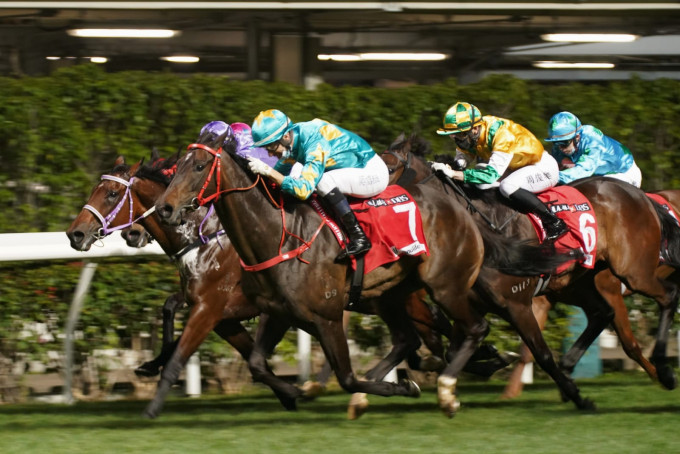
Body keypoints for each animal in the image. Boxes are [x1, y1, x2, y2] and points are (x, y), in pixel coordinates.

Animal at [154, 127, 584, 414]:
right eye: (174, 167)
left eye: (198, 165)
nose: (165, 209)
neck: (281, 234)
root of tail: (462, 213)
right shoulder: (277, 312)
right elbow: (258, 365)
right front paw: (295, 393)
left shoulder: (326, 316)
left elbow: (346, 376)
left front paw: (399, 390)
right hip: (395, 294)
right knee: (416, 338)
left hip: (444, 287)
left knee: (474, 329)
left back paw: (449, 389)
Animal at [388, 132, 680, 398]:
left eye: (389, 168)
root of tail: (641, 196)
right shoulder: (475, 302)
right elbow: (455, 350)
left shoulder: (518, 302)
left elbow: (538, 351)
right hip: (580, 281)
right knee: (603, 313)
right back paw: (571, 366)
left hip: (633, 271)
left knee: (666, 297)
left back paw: (664, 371)